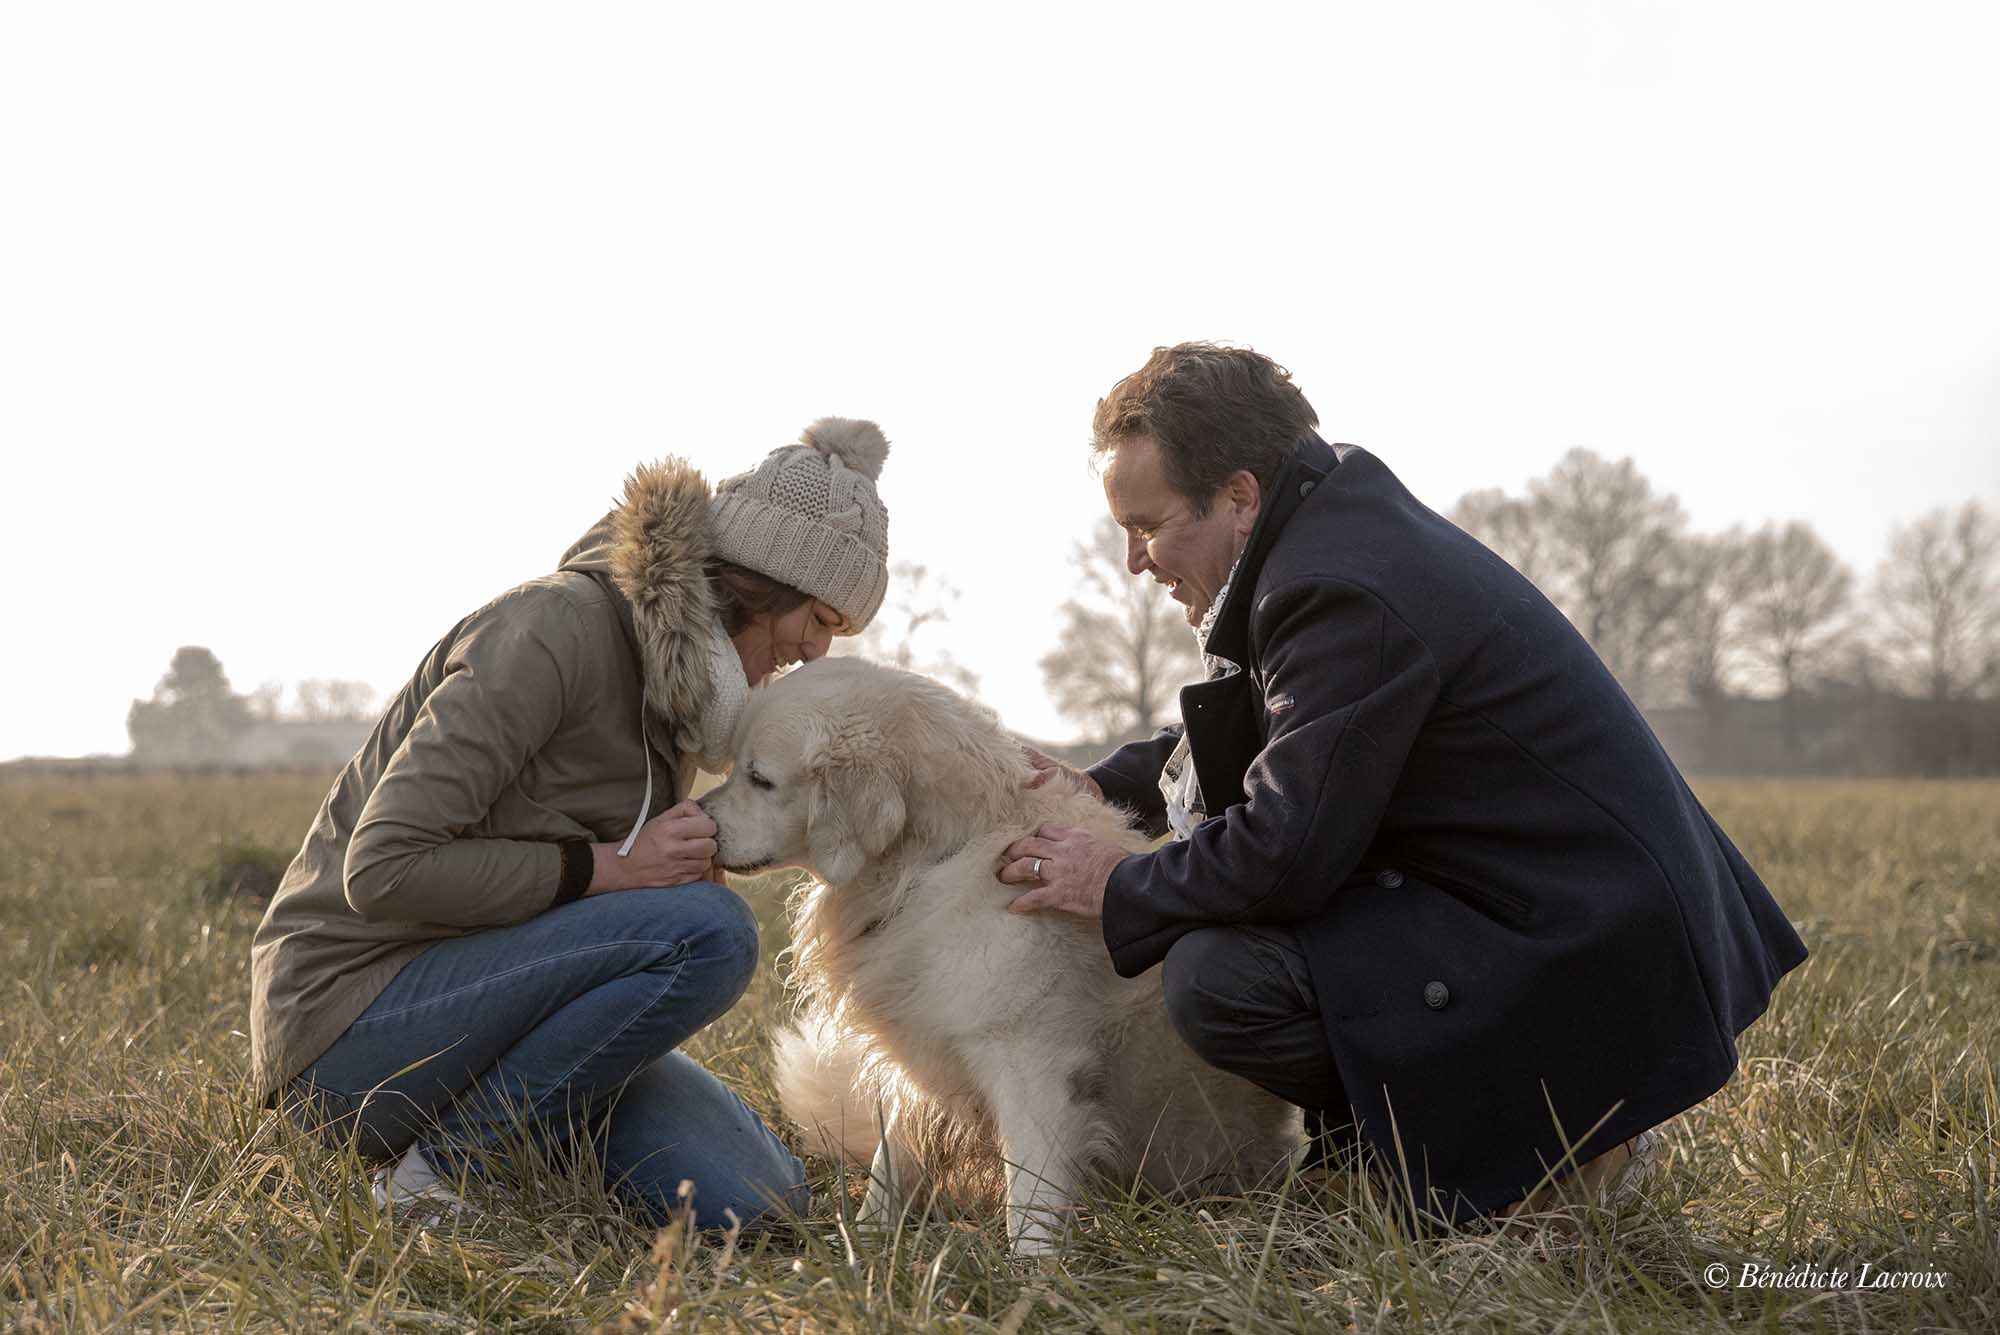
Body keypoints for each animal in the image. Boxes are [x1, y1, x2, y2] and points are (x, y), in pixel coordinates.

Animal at [700, 655, 1296, 1255]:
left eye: (759, 778)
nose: (698, 817)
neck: (933, 860)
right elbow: (889, 1164)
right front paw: (866, 1246)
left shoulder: (1029, 1059)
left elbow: (1029, 1193)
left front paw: (1031, 1270)